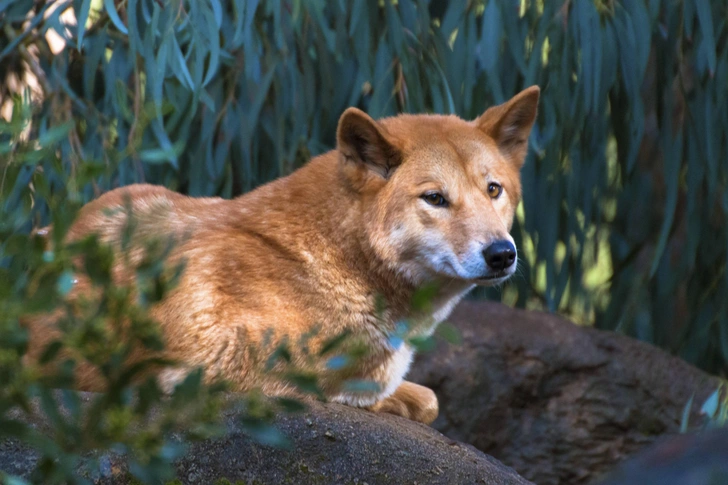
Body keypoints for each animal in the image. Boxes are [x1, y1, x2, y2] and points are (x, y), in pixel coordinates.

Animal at [25, 87, 536, 424]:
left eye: (493, 190)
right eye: (435, 198)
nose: (502, 254)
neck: (333, 261)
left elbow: (425, 398)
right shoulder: (208, 371)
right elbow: (395, 393)